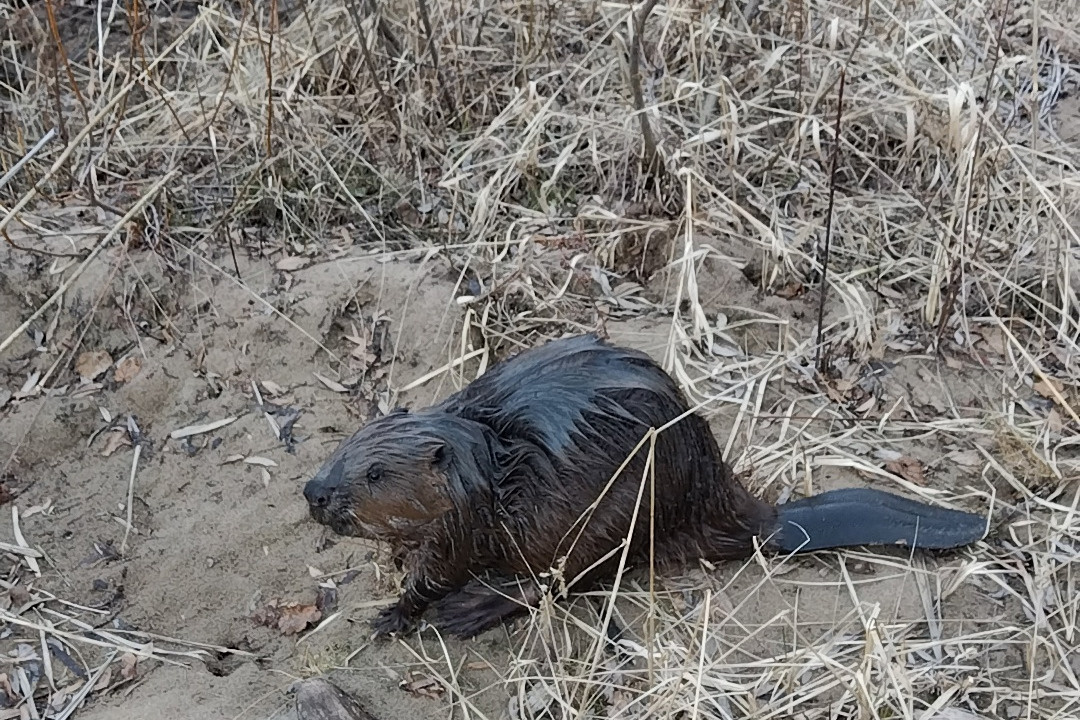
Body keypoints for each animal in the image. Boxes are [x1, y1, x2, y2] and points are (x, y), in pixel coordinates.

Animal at [302, 332, 989, 634]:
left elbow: (440, 570)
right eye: (343, 450)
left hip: (607, 521)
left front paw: (396, 613)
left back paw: (467, 613)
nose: (315, 493)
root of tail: (753, 518)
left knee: (562, 582)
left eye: (375, 472)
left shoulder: (467, 521)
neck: (486, 461)